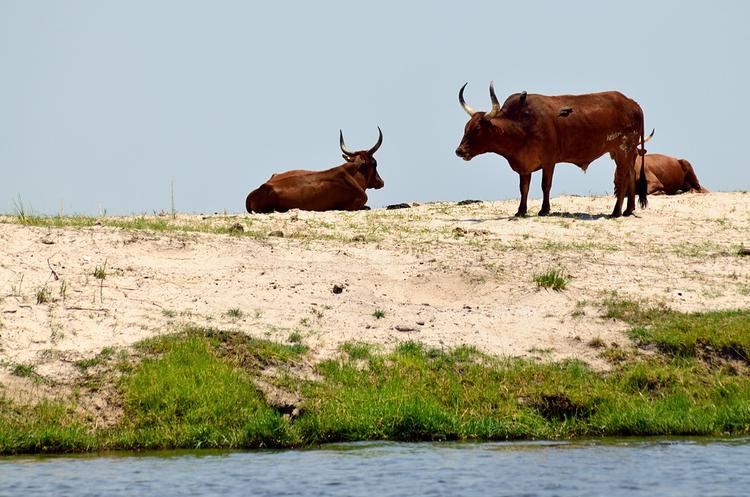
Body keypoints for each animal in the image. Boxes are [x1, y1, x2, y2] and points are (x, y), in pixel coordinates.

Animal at [456, 82, 648, 217]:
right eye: (465, 127)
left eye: (477, 129)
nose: (459, 151)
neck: (521, 125)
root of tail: (633, 104)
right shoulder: (524, 165)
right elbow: (524, 188)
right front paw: (521, 210)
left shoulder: (549, 160)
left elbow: (545, 185)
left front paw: (544, 209)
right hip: (623, 153)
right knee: (631, 174)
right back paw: (628, 210)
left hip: (624, 149)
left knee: (622, 178)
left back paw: (615, 212)